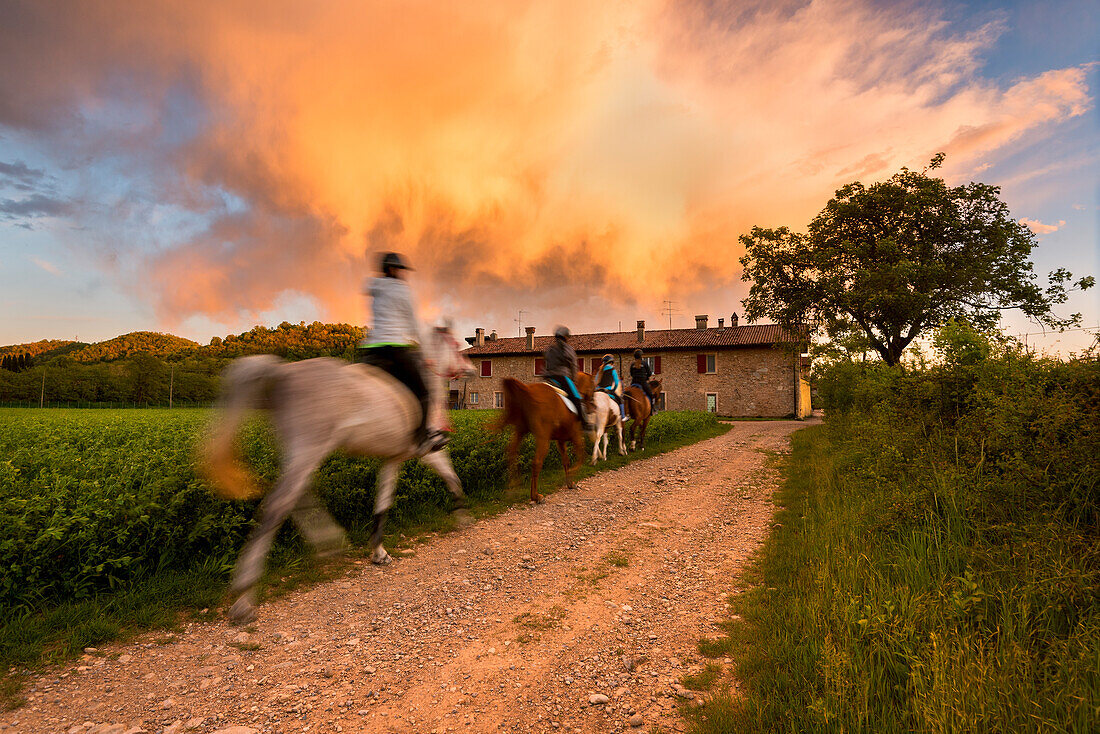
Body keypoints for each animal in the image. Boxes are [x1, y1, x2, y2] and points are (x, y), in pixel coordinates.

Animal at [204, 327, 475, 625]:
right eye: (456, 345)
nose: (472, 370)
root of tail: (282, 373)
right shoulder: (425, 451)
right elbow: (451, 475)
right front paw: (462, 514)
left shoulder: (392, 458)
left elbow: (383, 503)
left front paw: (379, 553)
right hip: (309, 449)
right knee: (277, 505)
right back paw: (244, 599)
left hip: (299, 451)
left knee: (294, 496)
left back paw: (328, 541)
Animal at [501, 374, 598, 506]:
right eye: (593, 386)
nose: (593, 406)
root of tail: (529, 390)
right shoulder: (576, 437)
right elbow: (581, 457)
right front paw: (572, 475)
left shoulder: (560, 441)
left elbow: (566, 461)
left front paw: (570, 482)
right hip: (543, 438)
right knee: (536, 462)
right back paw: (536, 496)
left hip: (520, 431)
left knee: (512, 452)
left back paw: (514, 484)